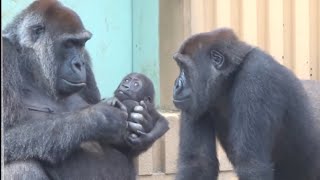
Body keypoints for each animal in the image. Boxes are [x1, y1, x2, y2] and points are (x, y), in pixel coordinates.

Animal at [3, 0, 155, 179]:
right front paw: (100, 119)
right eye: (69, 43)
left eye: (81, 44)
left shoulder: (86, 57)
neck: (31, 62)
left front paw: (145, 125)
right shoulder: (4, 53)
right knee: (20, 163)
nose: (79, 64)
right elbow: (7, 136)